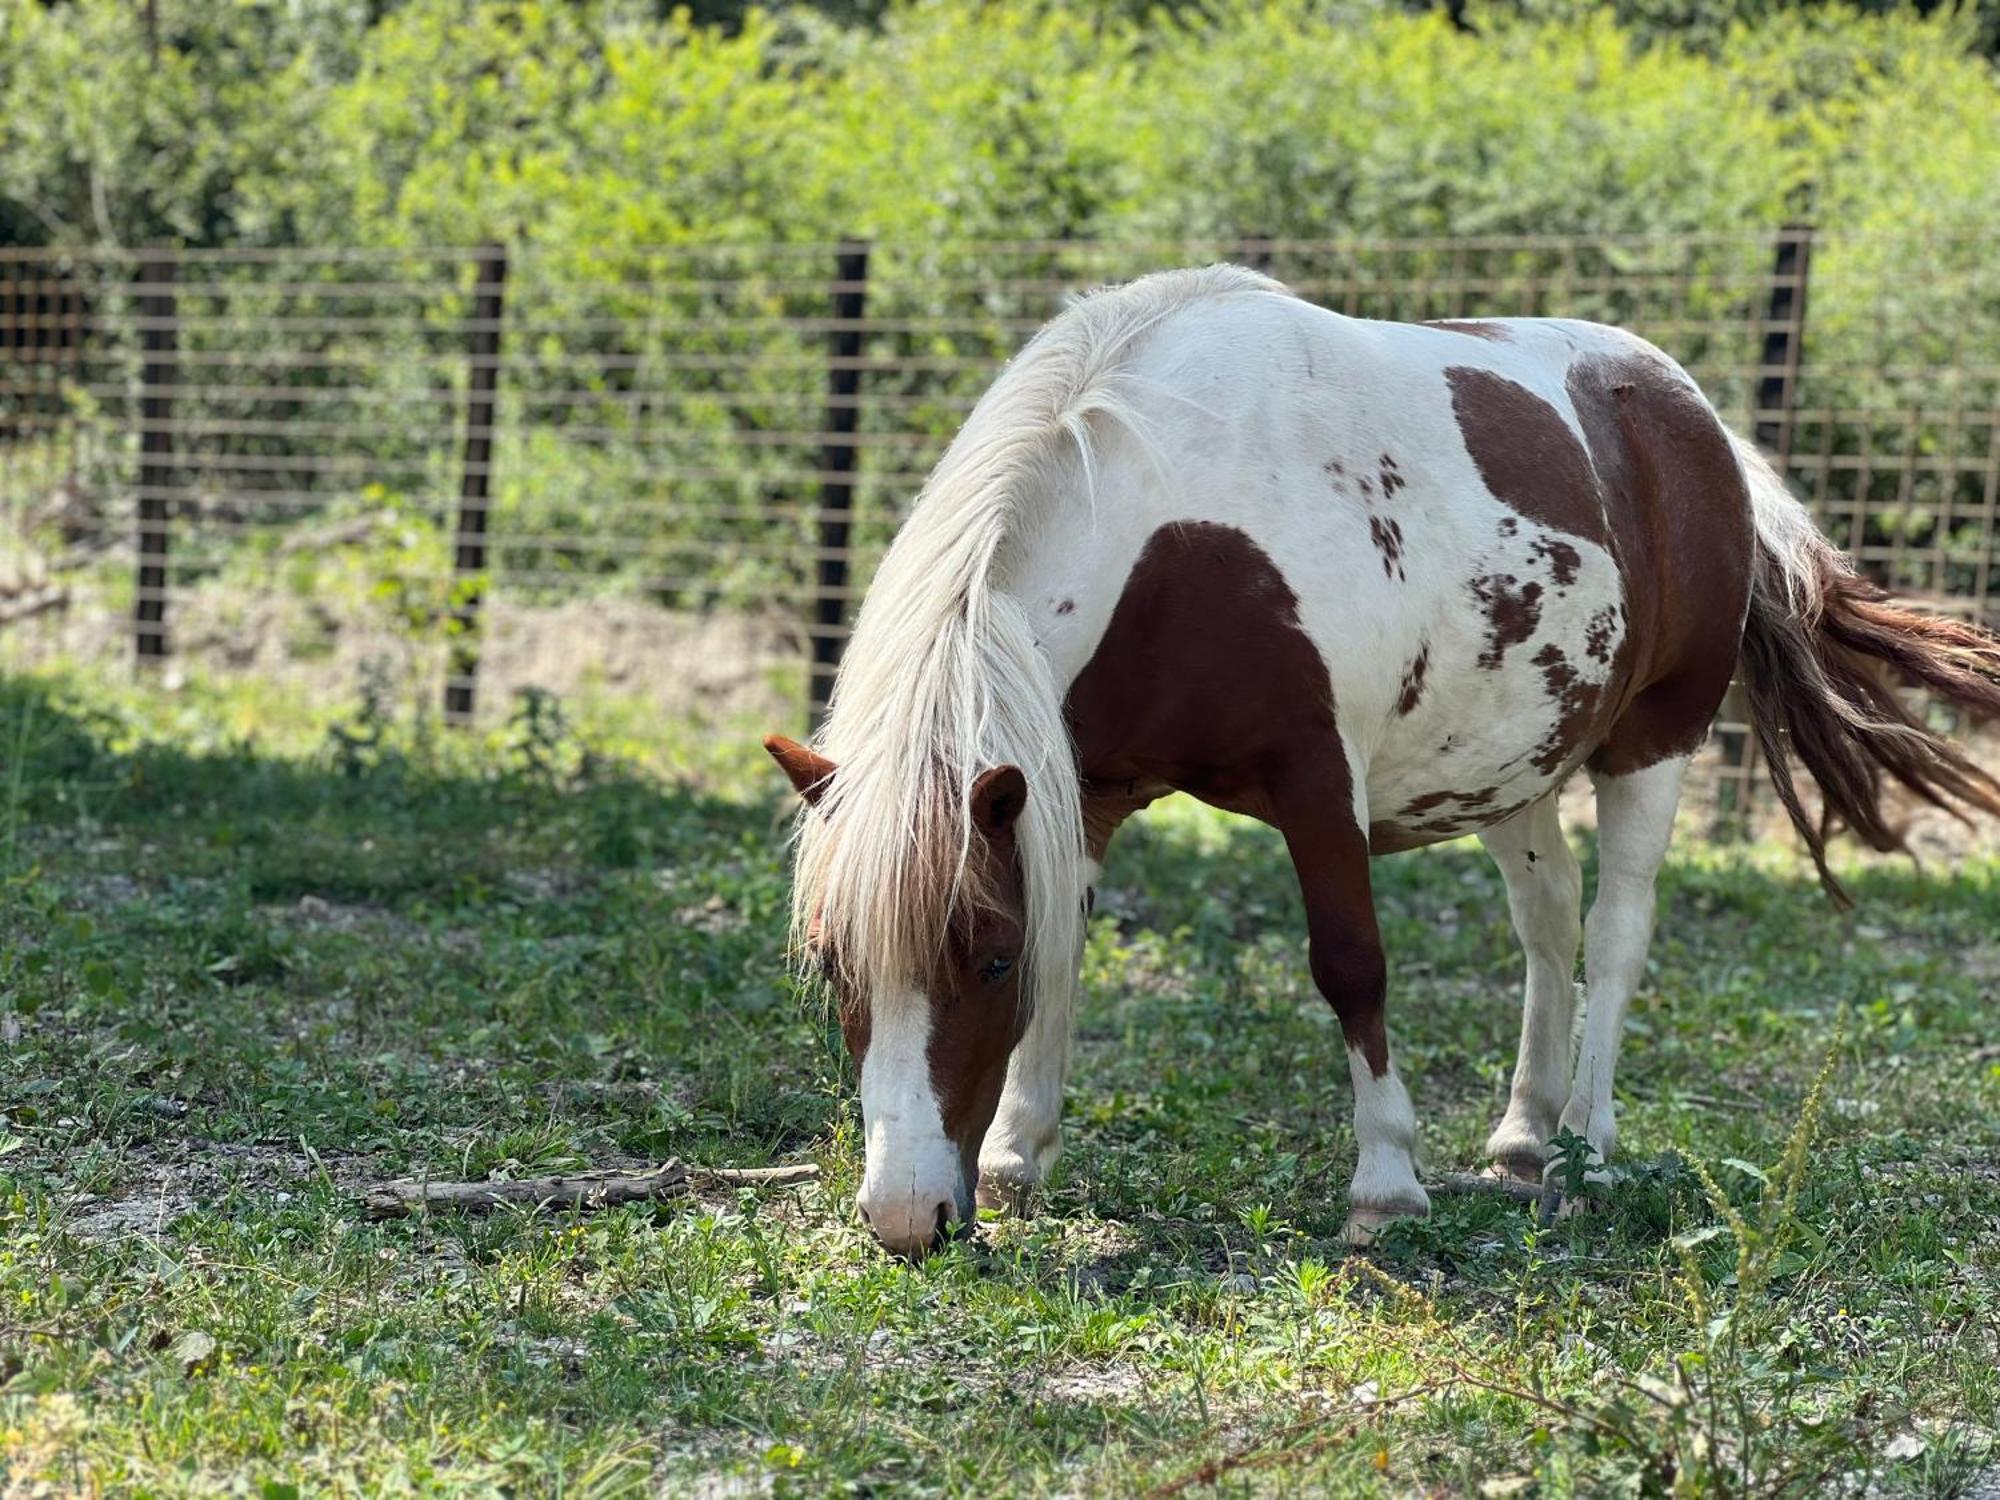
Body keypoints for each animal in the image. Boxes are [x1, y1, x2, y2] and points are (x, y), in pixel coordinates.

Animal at [760, 268, 2000, 1256]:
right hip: (1512, 765)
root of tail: (1691, 414)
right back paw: (1521, 1138)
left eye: (986, 962)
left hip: (1653, 744)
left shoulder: (1317, 782)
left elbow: (1350, 967)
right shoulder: (1080, 793)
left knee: (1613, 935)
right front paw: (1020, 1153)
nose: (905, 1219)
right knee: (1547, 926)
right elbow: (1074, 949)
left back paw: (1585, 1152)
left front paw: (1385, 1184)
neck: (1175, 528)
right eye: (831, 963)